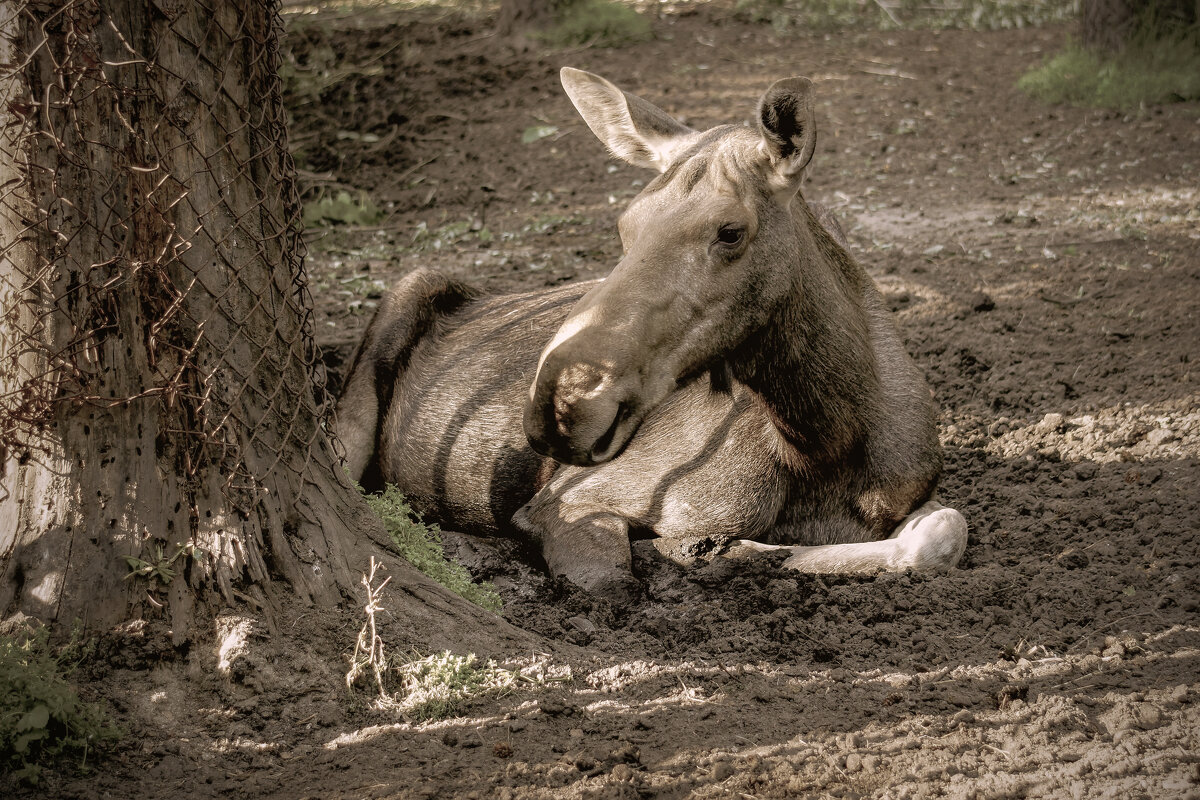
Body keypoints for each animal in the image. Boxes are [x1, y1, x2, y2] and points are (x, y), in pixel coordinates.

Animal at [333, 68, 969, 597]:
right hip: (391, 324)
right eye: (624, 225)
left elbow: (943, 532)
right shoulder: (570, 501)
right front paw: (705, 551)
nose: (560, 404)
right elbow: (615, 577)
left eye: (730, 231)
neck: (825, 440)